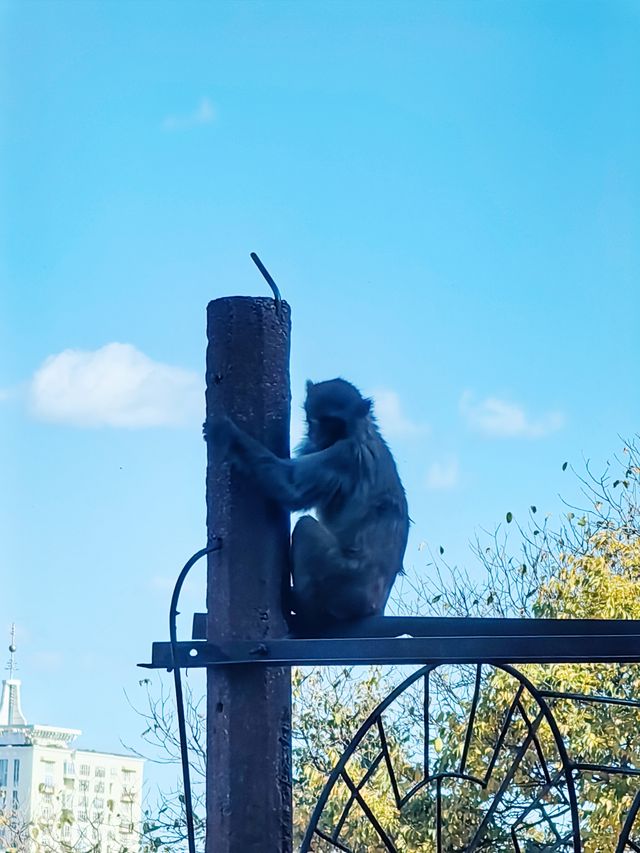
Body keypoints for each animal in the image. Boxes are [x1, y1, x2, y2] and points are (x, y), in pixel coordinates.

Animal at [208, 380, 412, 624]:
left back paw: (302, 605)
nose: (317, 436)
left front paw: (228, 434)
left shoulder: (342, 457)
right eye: (313, 418)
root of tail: (374, 607)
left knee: (306, 526)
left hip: (344, 583)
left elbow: (291, 488)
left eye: (333, 423)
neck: (363, 432)